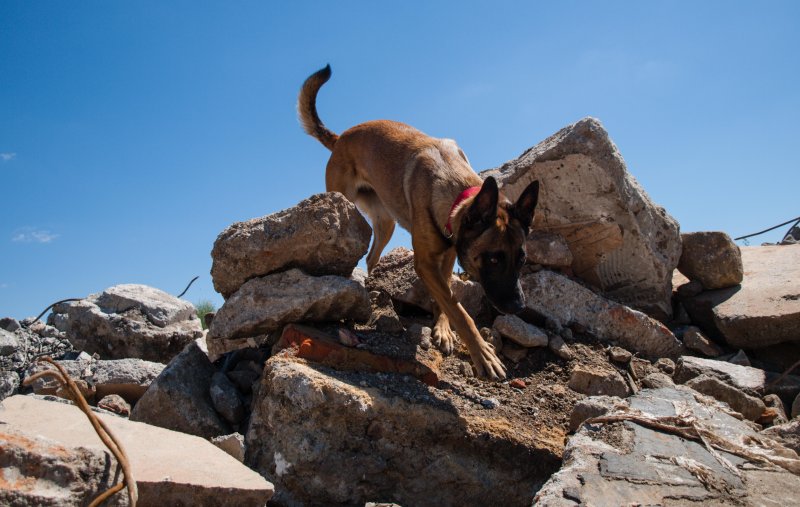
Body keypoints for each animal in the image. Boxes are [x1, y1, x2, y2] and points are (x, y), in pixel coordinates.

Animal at [296, 64, 540, 380]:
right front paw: (483, 354)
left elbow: (446, 296)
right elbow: (458, 308)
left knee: (373, 257)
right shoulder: (424, 262)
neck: (456, 190)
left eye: (522, 259)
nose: (519, 306)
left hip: (386, 225)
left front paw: (443, 330)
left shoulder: (446, 255)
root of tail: (340, 138)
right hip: (342, 203)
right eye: (494, 259)